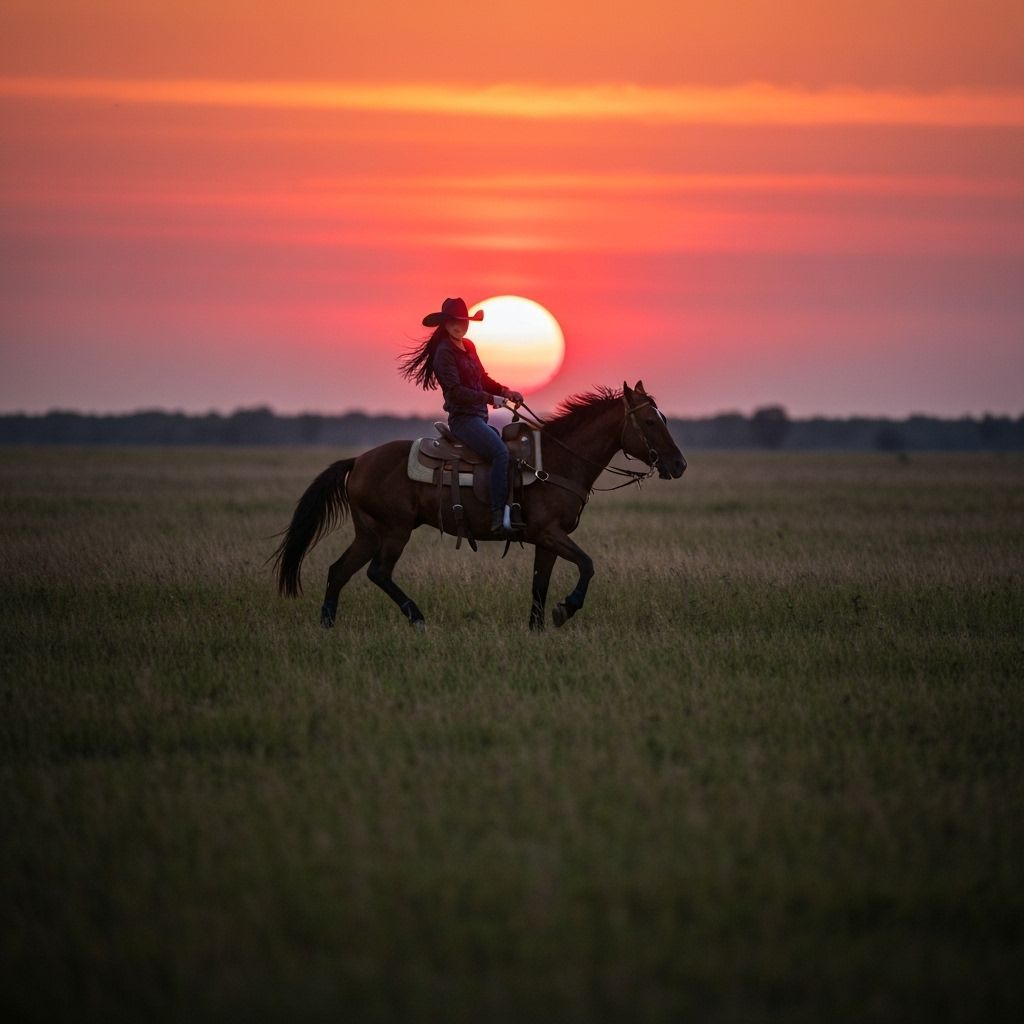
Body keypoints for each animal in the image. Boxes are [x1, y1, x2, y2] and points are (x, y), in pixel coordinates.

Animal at [272, 381, 686, 630]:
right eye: (650, 421)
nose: (679, 464)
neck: (557, 461)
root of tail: (358, 460)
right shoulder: (549, 534)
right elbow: (587, 565)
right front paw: (565, 609)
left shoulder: (547, 542)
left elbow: (540, 585)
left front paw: (537, 628)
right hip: (394, 531)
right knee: (378, 572)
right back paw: (418, 618)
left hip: (369, 532)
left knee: (339, 571)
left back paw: (328, 625)